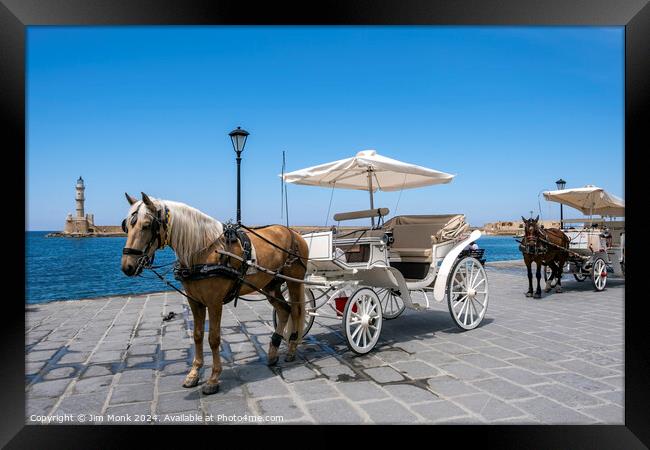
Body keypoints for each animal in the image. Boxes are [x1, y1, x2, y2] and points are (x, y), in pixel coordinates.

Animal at [120, 192, 308, 394]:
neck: (203, 250)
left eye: (147, 225)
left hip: (294, 281)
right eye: (126, 226)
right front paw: (194, 373)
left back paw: (292, 349)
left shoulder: (214, 302)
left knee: (296, 311)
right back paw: (273, 352)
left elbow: (214, 338)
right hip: (270, 285)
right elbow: (197, 335)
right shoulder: (195, 301)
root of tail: (294, 233)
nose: (127, 267)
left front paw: (213, 379)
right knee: (284, 310)